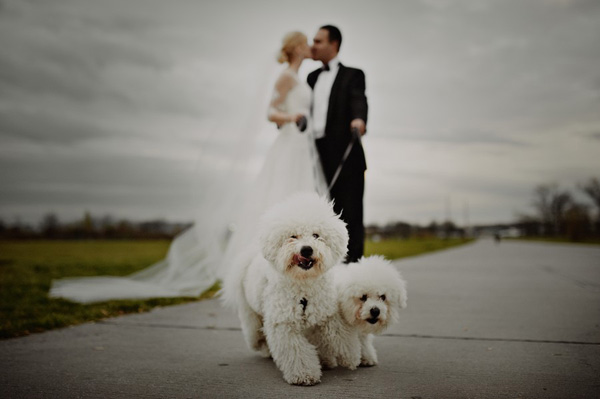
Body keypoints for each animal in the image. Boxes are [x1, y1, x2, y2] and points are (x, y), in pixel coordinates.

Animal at [223, 192, 350, 386]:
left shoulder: (325, 314)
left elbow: (335, 334)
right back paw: (263, 347)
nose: (306, 250)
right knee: (255, 335)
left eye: (316, 235)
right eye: (293, 236)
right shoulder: (284, 323)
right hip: (250, 314)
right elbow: (296, 351)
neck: (303, 284)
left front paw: (341, 355)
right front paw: (304, 374)